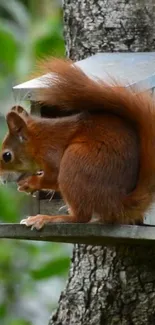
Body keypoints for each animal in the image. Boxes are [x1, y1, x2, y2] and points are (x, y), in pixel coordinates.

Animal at [0, 58, 155, 229]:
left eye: (7, 156)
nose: (1, 179)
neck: (38, 140)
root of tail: (117, 203)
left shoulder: (51, 152)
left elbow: (53, 177)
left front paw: (31, 183)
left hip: (75, 162)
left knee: (81, 217)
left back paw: (48, 218)